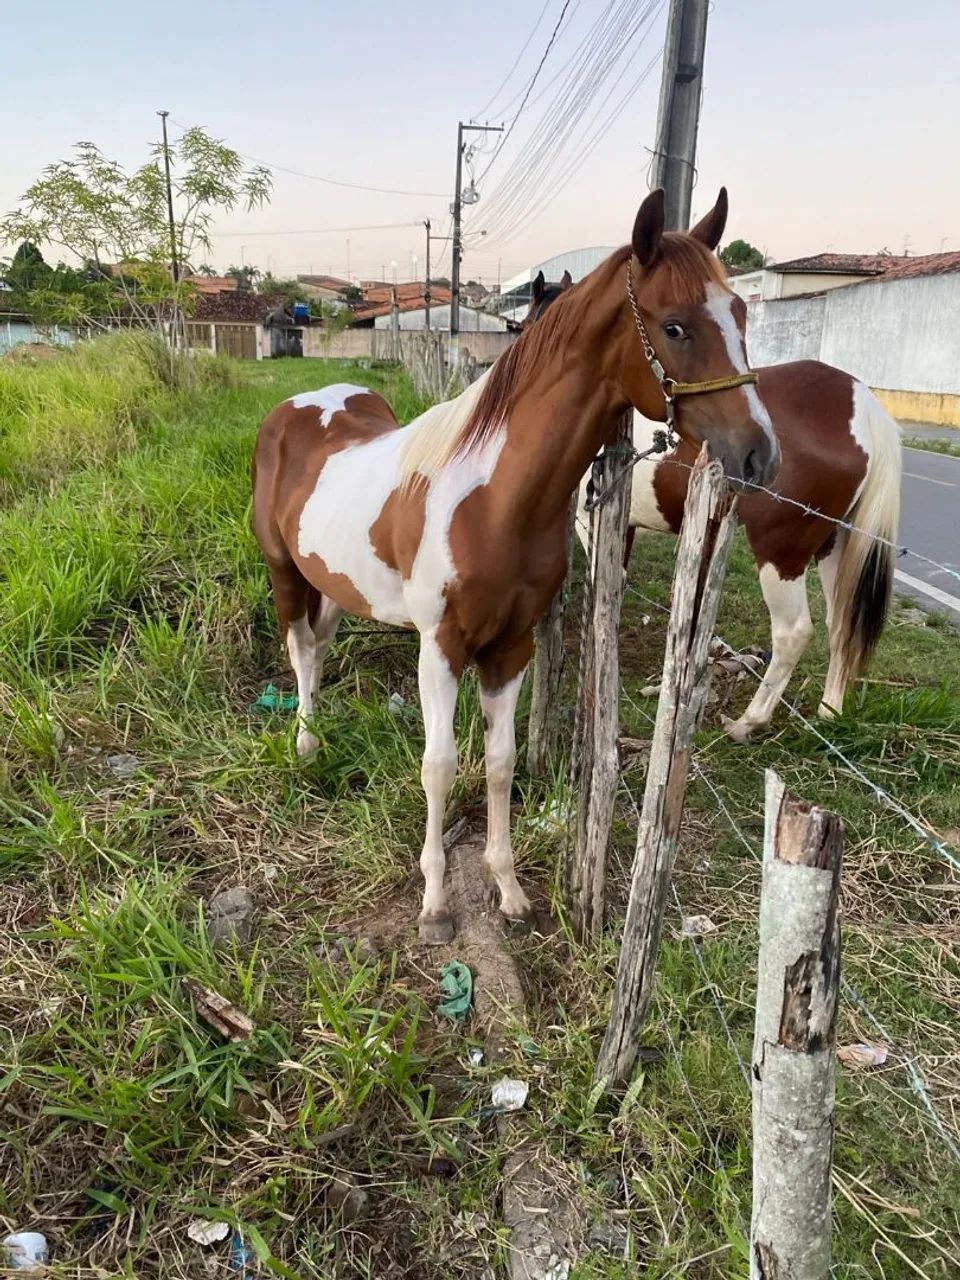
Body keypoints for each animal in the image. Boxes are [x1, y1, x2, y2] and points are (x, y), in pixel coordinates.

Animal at [251, 187, 779, 942]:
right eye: (675, 327)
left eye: (739, 314)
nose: (759, 457)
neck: (496, 497)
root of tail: (301, 404)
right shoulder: (441, 646)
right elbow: (440, 766)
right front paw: (436, 905)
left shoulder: (511, 647)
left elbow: (499, 765)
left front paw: (508, 890)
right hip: (284, 573)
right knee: (300, 650)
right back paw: (306, 744)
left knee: (318, 648)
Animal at [523, 271, 902, 741]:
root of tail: (861, 406)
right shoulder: (624, 524)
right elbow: (617, 577)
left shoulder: (588, 515)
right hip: (834, 544)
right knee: (841, 624)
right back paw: (830, 710)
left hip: (782, 551)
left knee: (794, 632)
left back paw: (750, 720)